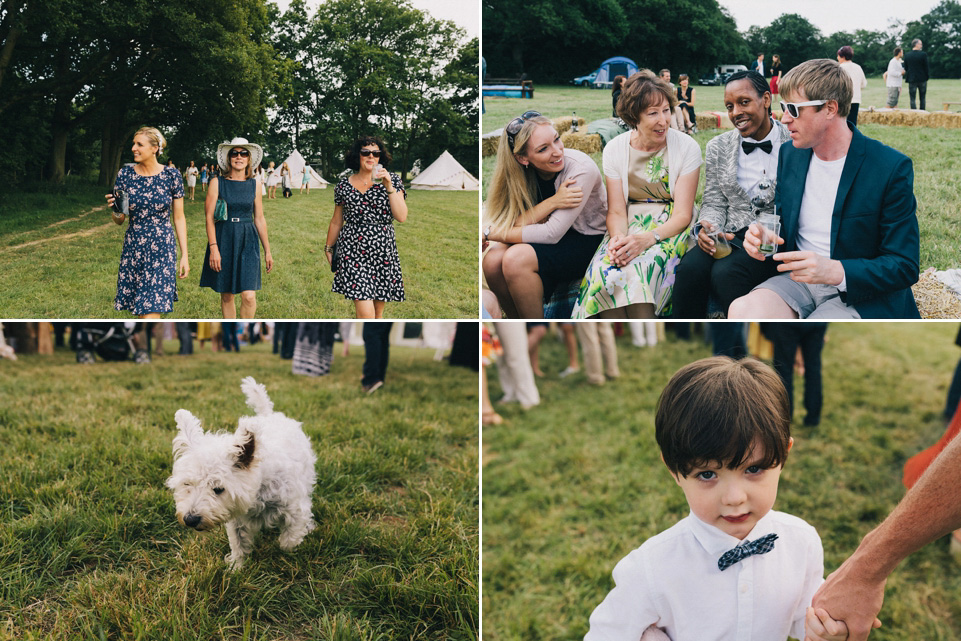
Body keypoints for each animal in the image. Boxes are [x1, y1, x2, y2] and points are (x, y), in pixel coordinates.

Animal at [165, 376, 316, 568]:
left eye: (218, 489)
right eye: (187, 484)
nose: (190, 519)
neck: (259, 489)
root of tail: (269, 414)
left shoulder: (295, 509)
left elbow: (289, 538)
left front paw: (287, 553)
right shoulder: (236, 520)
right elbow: (238, 543)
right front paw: (236, 567)